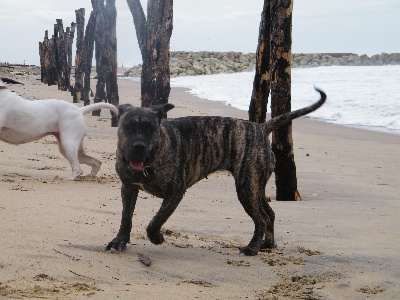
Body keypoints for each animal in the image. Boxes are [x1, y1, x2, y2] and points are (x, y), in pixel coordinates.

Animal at [108, 87, 326, 255]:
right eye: (127, 127)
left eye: (150, 128)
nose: (138, 146)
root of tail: (261, 128)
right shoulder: (128, 188)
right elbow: (126, 217)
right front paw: (119, 241)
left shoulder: (175, 193)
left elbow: (155, 221)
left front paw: (157, 238)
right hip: (255, 187)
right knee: (269, 213)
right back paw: (267, 244)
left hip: (246, 189)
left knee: (261, 219)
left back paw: (251, 248)